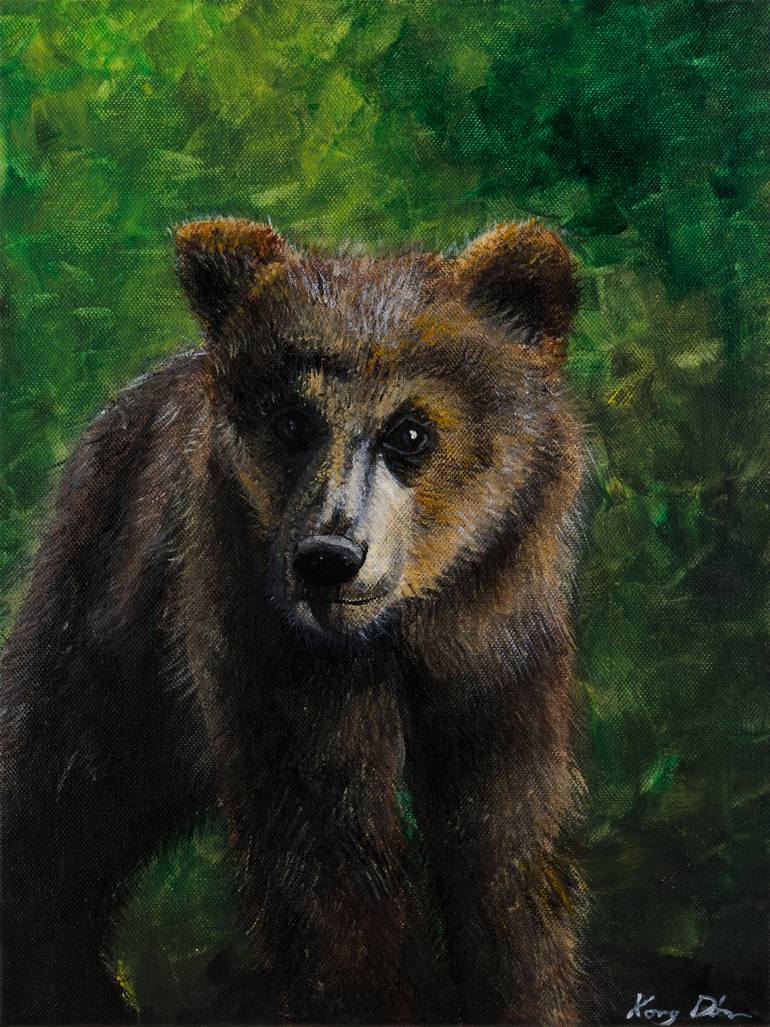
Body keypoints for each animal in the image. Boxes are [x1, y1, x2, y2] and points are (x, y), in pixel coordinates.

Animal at [0, 218, 586, 1026]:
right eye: (291, 421)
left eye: (409, 432)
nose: (327, 557)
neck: (396, 632)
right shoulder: (275, 655)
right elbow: (325, 866)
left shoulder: (497, 643)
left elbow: (506, 846)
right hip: (107, 614)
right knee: (60, 786)